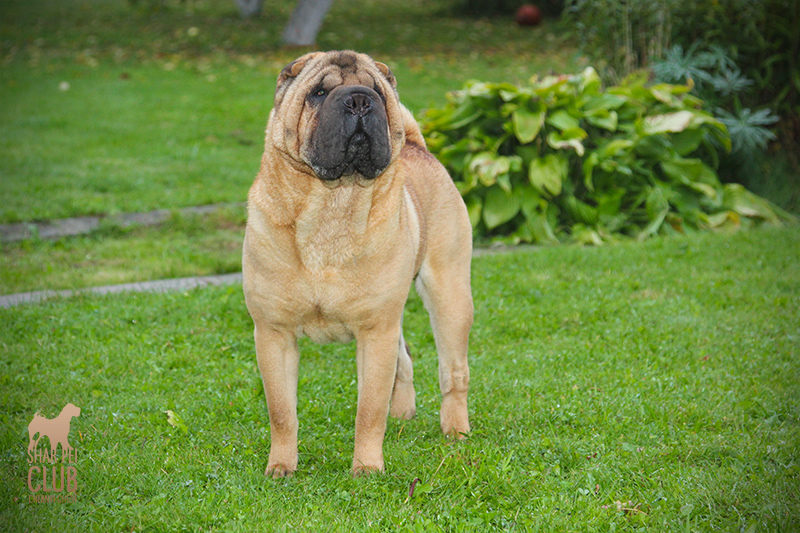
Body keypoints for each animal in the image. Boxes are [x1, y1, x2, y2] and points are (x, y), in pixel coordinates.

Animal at [242, 50, 473, 477]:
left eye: (378, 93)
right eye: (318, 93)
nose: (360, 100)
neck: (332, 205)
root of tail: (417, 146)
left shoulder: (375, 332)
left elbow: (369, 409)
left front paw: (366, 468)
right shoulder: (273, 333)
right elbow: (281, 411)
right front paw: (281, 467)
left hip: (449, 297)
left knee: (453, 371)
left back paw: (456, 430)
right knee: (405, 360)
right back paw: (403, 414)